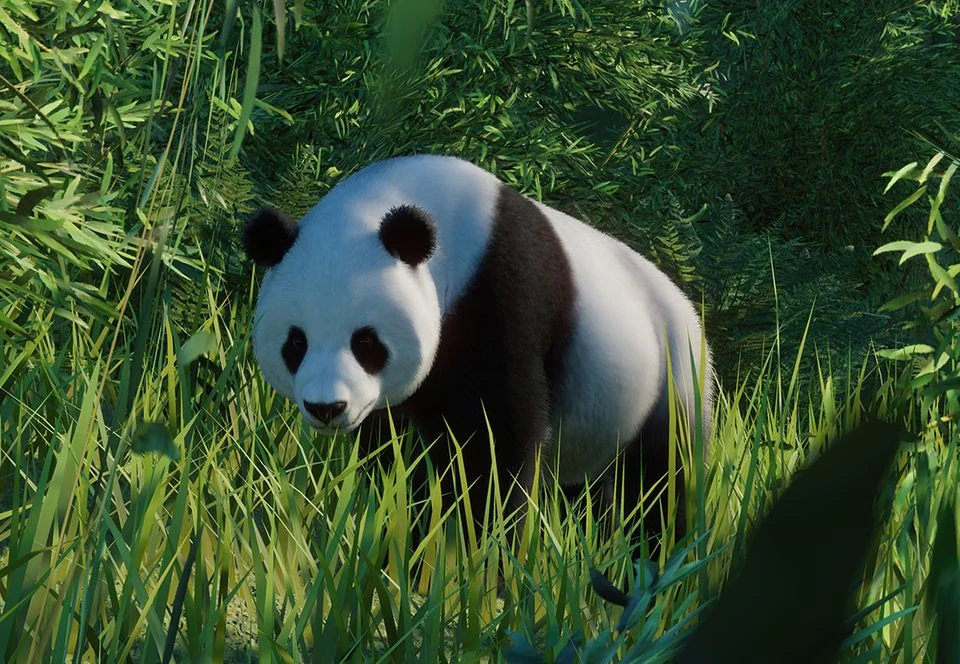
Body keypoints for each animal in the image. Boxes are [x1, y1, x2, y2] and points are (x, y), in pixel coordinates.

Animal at [242, 154, 714, 548]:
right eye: (296, 342)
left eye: (366, 342)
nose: (327, 408)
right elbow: (393, 457)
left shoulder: (503, 293)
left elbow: (498, 438)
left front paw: (483, 554)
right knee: (589, 493)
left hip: (667, 379)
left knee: (660, 484)